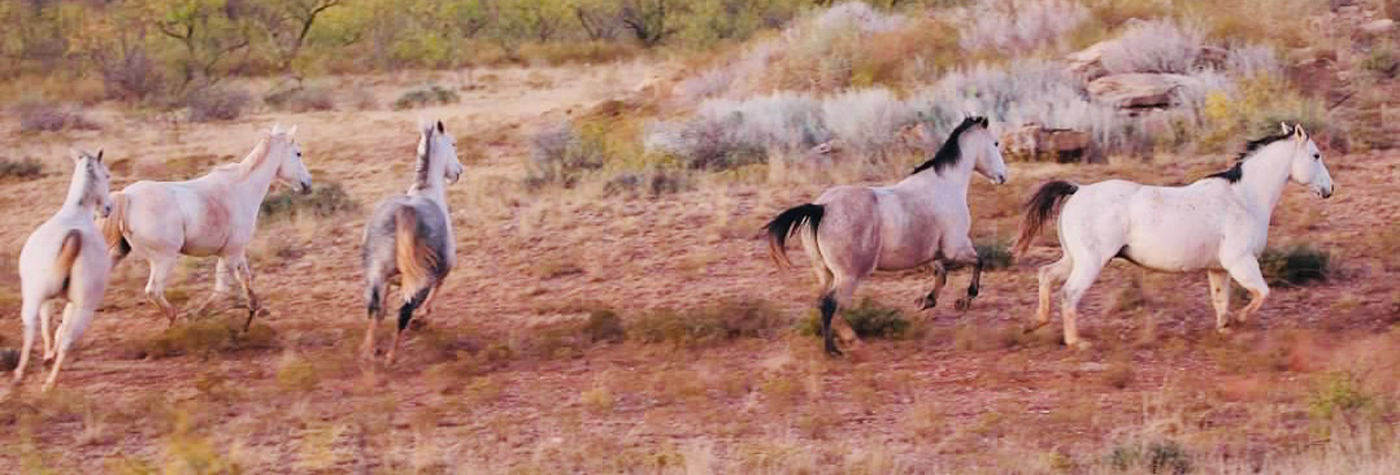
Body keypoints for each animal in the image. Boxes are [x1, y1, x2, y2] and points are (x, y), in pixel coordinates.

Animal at [14, 149, 114, 391]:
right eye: (107, 175)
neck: (76, 213)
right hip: (82, 307)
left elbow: (48, 326)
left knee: (32, 326)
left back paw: (27, 376)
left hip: (38, 297)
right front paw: (48, 357)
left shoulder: (48, 299)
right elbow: (55, 328)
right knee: (65, 338)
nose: (108, 209)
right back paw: (47, 380)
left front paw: (46, 357)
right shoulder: (63, 301)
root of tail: (74, 234)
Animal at [101, 125, 312, 331]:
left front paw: (255, 309)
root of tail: (127, 197)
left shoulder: (236, 250)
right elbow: (223, 288)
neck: (241, 189)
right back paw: (175, 323)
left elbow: (245, 278)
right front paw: (198, 316)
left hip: (117, 253)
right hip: (164, 259)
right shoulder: (229, 254)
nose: (307, 184)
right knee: (153, 291)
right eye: (298, 153)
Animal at [360, 119, 463, 363]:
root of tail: (403, 212)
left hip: (375, 274)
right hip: (419, 281)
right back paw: (391, 357)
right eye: (453, 143)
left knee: (373, 307)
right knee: (404, 313)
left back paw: (370, 351)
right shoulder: (443, 269)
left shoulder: (390, 281)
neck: (426, 191)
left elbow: (381, 311)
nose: (458, 172)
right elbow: (437, 289)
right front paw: (423, 318)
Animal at [765, 116, 1009, 356]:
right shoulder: (956, 247)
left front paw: (926, 301)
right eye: (995, 143)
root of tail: (821, 208)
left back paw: (849, 339)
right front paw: (964, 300)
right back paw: (834, 349)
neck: (946, 185)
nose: (1002, 176)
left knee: (824, 302)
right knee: (830, 305)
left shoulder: (934, 252)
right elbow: (978, 261)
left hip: (825, 273)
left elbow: (942, 274)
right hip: (849, 276)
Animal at [1015, 123, 1334, 349]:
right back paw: (1076, 342)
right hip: (1090, 263)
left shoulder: (1219, 269)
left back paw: (1034, 323)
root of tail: (1078, 189)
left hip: (1073, 258)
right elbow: (1262, 293)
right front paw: (1238, 320)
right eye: (1316, 155)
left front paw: (1225, 328)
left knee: (1045, 275)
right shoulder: (1240, 262)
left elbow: (1221, 301)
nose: (1329, 189)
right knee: (1069, 293)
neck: (1243, 198)